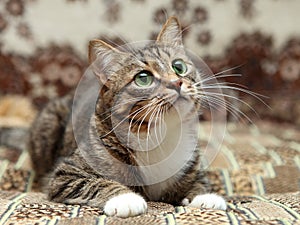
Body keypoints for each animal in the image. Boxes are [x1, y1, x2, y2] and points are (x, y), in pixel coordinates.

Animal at [28, 17, 226, 218]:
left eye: (179, 67)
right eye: (143, 78)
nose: (176, 82)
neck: (159, 134)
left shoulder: (192, 163)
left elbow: (199, 181)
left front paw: (204, 197)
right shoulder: (67, 173)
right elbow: (94, 182)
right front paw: (125, 198)